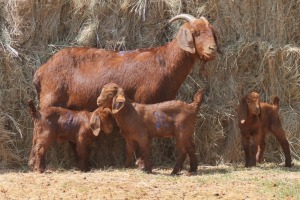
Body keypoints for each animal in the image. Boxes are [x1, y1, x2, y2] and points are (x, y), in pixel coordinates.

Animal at [34, 14, 219, 111]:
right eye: (195, 32)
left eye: (213, 32)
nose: (212, 49)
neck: (164, 62)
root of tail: (42, 70)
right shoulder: (145, 99)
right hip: (50, 101)